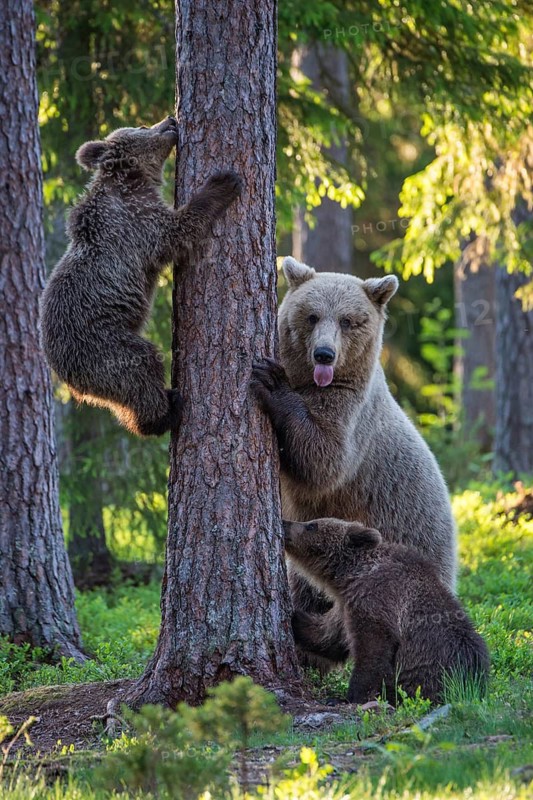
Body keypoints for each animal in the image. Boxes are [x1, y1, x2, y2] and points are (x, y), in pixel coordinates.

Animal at [41, 116, 242, 436]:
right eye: (143, 127)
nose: (170, 119)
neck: (132, 180)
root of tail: (65, 377)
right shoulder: (136, 222)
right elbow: (178, 231)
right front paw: (222, 183)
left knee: (122, 396)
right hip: (102, 345)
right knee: (141, 368)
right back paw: (165, 412)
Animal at [251, 257, 457, 635]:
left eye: (347, 320)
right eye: (312, 315)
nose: (324, 354)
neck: (312, 383)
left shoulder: (351, 416)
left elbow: (323, 461)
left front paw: (271, 382)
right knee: (305, 585)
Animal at [283, 517, 490, 705]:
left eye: (312, 525)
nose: (285, 523)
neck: (353, 573)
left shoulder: (376, 600)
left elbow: (372, 652)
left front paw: (348, 697)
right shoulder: (345, 606)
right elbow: (327, 638)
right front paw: (293, 617)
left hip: (433, 673)